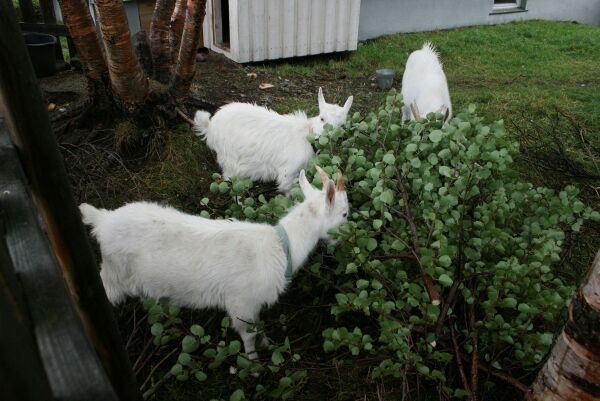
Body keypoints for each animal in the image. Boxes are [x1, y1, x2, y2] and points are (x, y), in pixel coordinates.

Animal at [192, 87, 352, 194]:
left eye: (342, 125)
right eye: (322, 118)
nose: (324, 138)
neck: (306, 136)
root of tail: (210, 126)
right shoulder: (287, 173)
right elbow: (289, 193)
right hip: (230, 160)